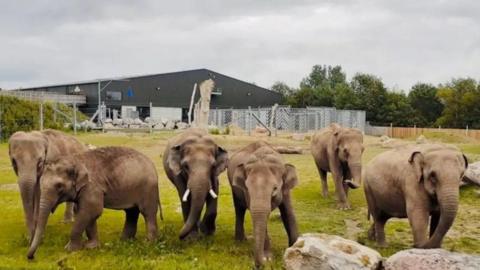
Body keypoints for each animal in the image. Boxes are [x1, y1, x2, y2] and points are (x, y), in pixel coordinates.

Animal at [26, 148, 161, 260]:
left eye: (59, 186)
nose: (30, 257)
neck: (75, 160)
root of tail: (153, 165)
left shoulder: (92, 186)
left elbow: (92, 210)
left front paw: (70, 249)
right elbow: (85, 212)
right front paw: (91, 247)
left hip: (148, 188)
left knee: (147, 212)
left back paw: (148, 243)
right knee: (131, 212)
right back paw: (125, 241)